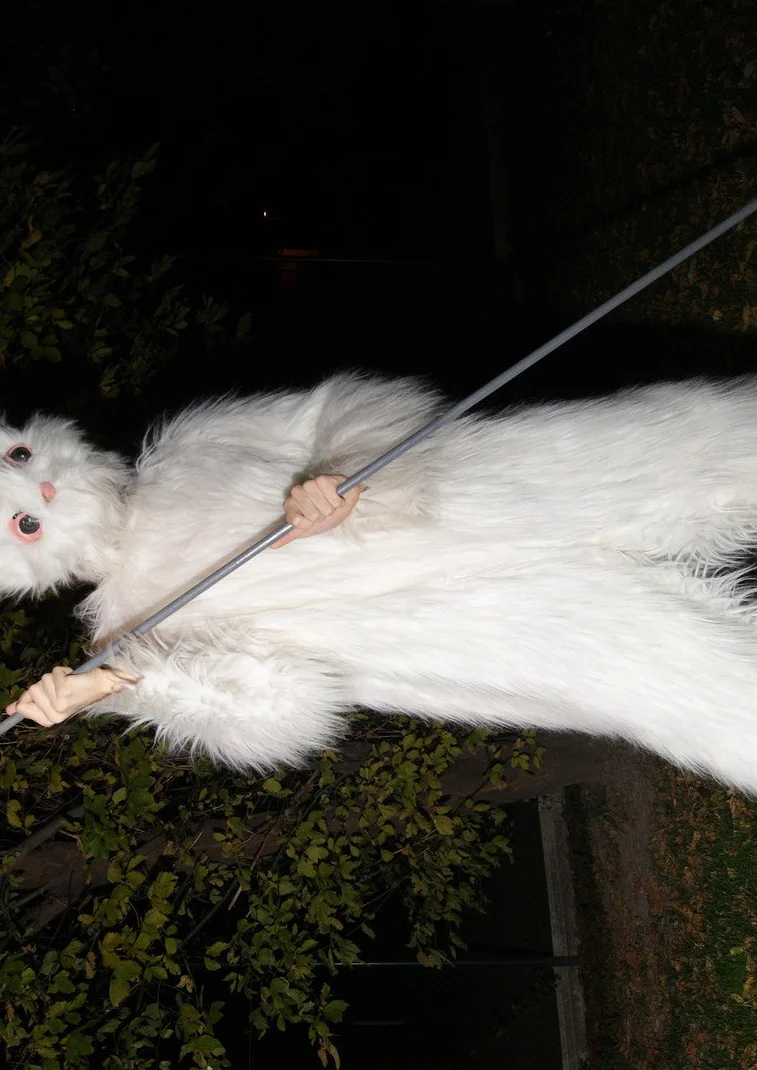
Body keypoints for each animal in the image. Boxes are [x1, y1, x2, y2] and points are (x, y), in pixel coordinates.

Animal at [5, 371, 757, 793]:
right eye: (25, 526)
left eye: (19, 452)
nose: (44, 491)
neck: (128, 534)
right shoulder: (217, 661)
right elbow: (279, 704)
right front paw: (63, 696)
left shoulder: (214, 430)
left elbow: (323, 415)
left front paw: (319, 503)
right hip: (617, 644)